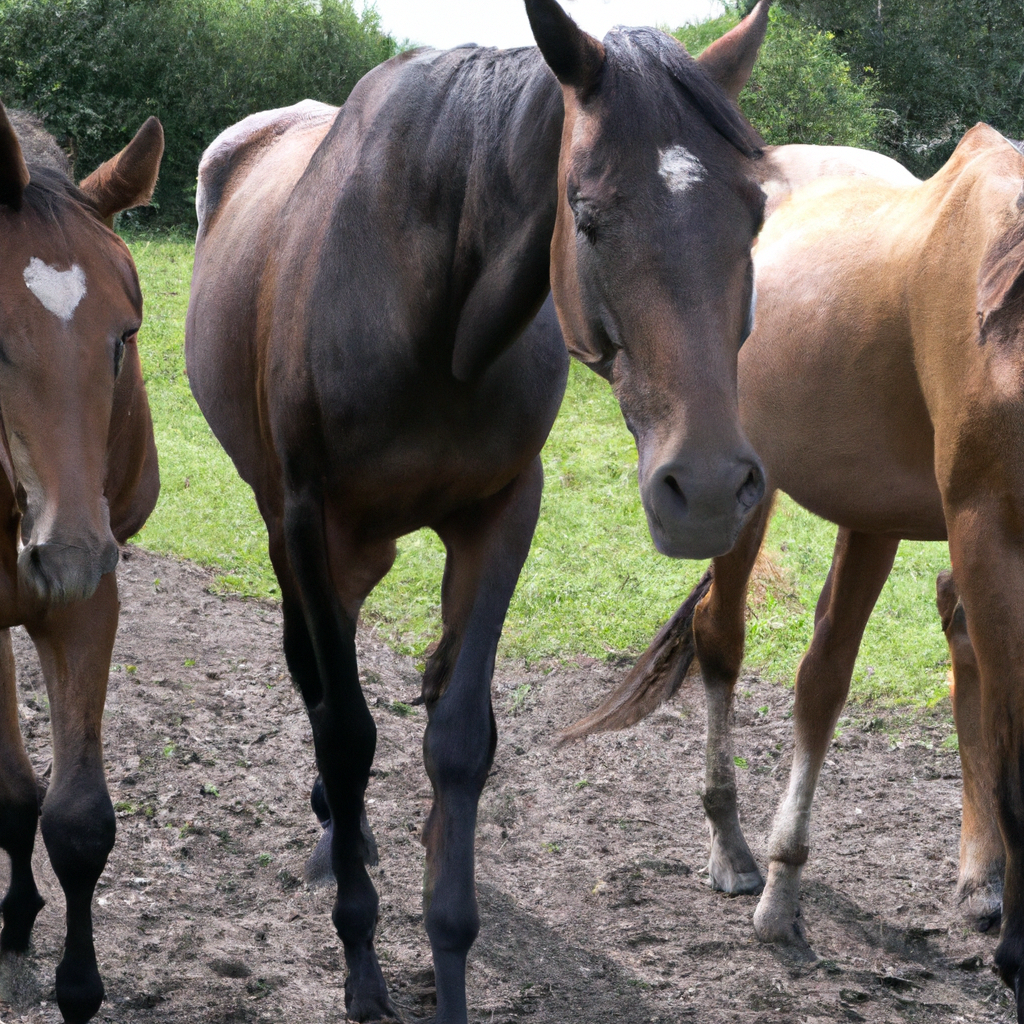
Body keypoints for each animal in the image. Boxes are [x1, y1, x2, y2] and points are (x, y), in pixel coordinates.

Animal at [188, 4, 770, 1019]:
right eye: (588, 216)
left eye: (757, 214)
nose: (702, 492)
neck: (426, 306)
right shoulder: (309, 519)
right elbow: (346, 728)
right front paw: (362, 961)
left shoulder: (503, 514)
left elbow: (458, 741)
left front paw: (448, 959)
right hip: (287, 525)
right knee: (314, 681)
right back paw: (335, 836)